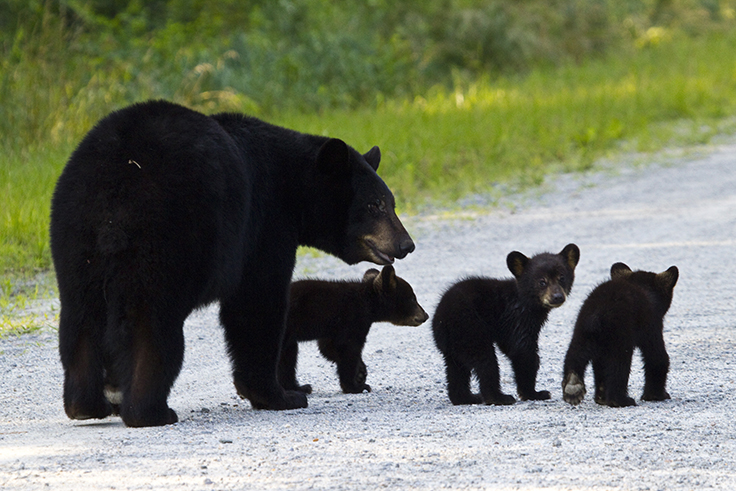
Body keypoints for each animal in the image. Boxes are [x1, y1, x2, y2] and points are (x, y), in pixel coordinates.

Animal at [278, 266, 428, 396]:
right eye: (412, 298)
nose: (425, 315)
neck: (367, 302)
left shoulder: (335, 328)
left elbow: (328, 347)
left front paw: (361, 372)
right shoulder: (353, 318)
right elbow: (347, 348)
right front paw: (356, 386)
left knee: (288, 356)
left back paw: (299, 387)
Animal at [432, 244, 580, 406]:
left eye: (562, 278)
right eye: (542, 281)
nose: (557, 297)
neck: (526, 301)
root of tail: (441, 319)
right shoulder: (518, 318)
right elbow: (523, 350)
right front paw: (534, 393)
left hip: (453, 345)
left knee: (456, 369)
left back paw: (466, 398)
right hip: (469, 329)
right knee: (486, 362)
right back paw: (498, 397)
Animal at [564, 264, 680, 410]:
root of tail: (597, 313)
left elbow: (600, 365)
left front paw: (601, 396)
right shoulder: (651, 324)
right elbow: (656, 356)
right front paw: (657, 395)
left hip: (582, 331)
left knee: (575, 354)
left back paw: (572, 387)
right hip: (620, 334)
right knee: (619, 364)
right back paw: (621, 400)